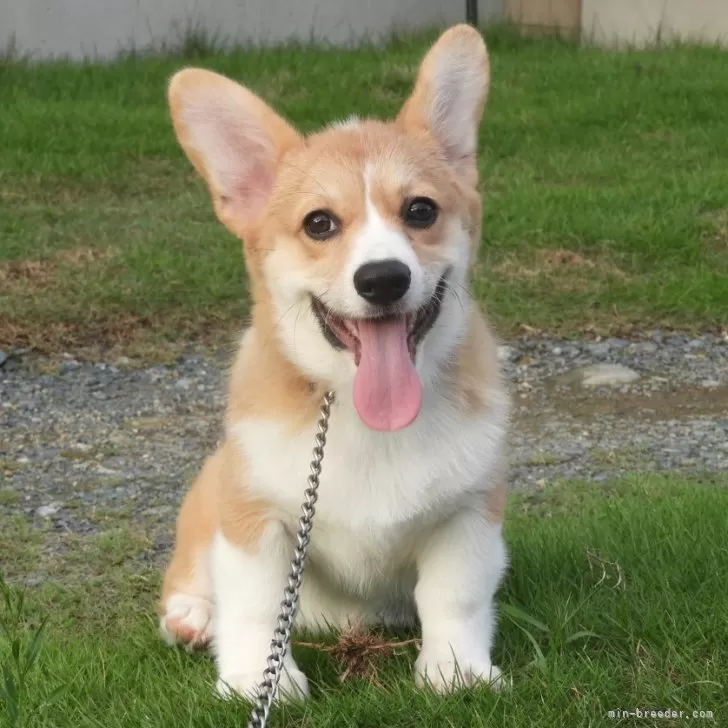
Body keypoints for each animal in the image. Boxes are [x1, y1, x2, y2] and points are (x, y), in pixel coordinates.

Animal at [159, 25, 512, 704]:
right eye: (319, 224)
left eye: (421, 211)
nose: (383, 279)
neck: (360, 413)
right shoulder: (254, 518)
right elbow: (255, 607)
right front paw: (256, 679)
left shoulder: (468, 514)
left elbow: (455, 595)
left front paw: (456, 669)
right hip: (211, 490)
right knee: (193, 573)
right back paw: (192, 616)